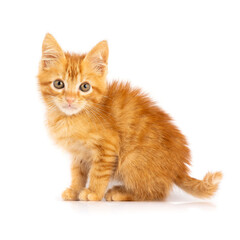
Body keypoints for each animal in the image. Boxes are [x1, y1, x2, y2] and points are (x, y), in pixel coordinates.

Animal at [36, 33, 222, 201]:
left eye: (85, 87)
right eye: (58, 84)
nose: (70, 99)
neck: (71, 118)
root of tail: (179, 167)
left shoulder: (108, 147)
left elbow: (98, 172)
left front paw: (93, 193)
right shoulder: (79, 153)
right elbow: (78, 173)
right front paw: (75, 190)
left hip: (133, 160)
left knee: (155, 193)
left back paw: (120, 193)